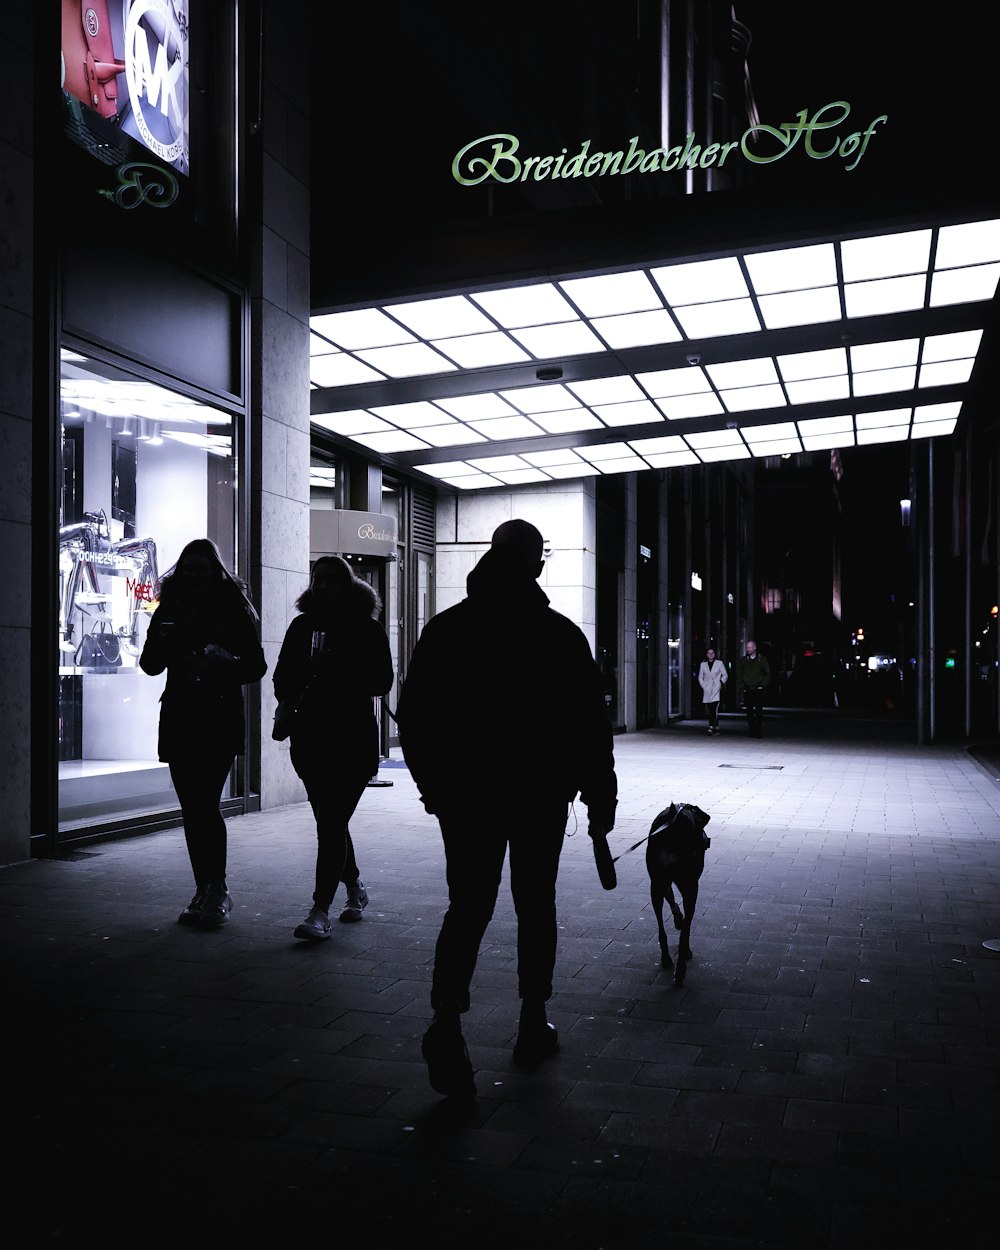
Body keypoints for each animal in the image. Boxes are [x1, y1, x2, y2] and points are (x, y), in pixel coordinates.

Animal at [650, 800, 710, 985]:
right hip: (690, 886)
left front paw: (678, 919)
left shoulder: (661, 883)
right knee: (684, 935)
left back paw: (666, 958)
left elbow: (671, 899)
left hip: (656, 884)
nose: (706, 840)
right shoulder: (690, 887)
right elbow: (686, 926)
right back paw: (680, 970)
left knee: (661, 928)